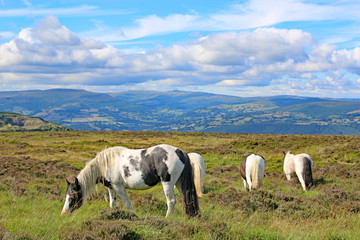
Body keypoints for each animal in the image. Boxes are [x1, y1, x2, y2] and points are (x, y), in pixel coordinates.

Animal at [63, 144, 201, 218]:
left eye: (73, 196)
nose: (64, 213)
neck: (105, 164)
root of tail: (180, 152)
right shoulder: (111, 188)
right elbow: (113, 204)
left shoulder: (118, 187)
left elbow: (128, 203)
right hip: (179, 183)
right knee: (186, 199)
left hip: (168, 183)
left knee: (171, 201)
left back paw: (167, 218)